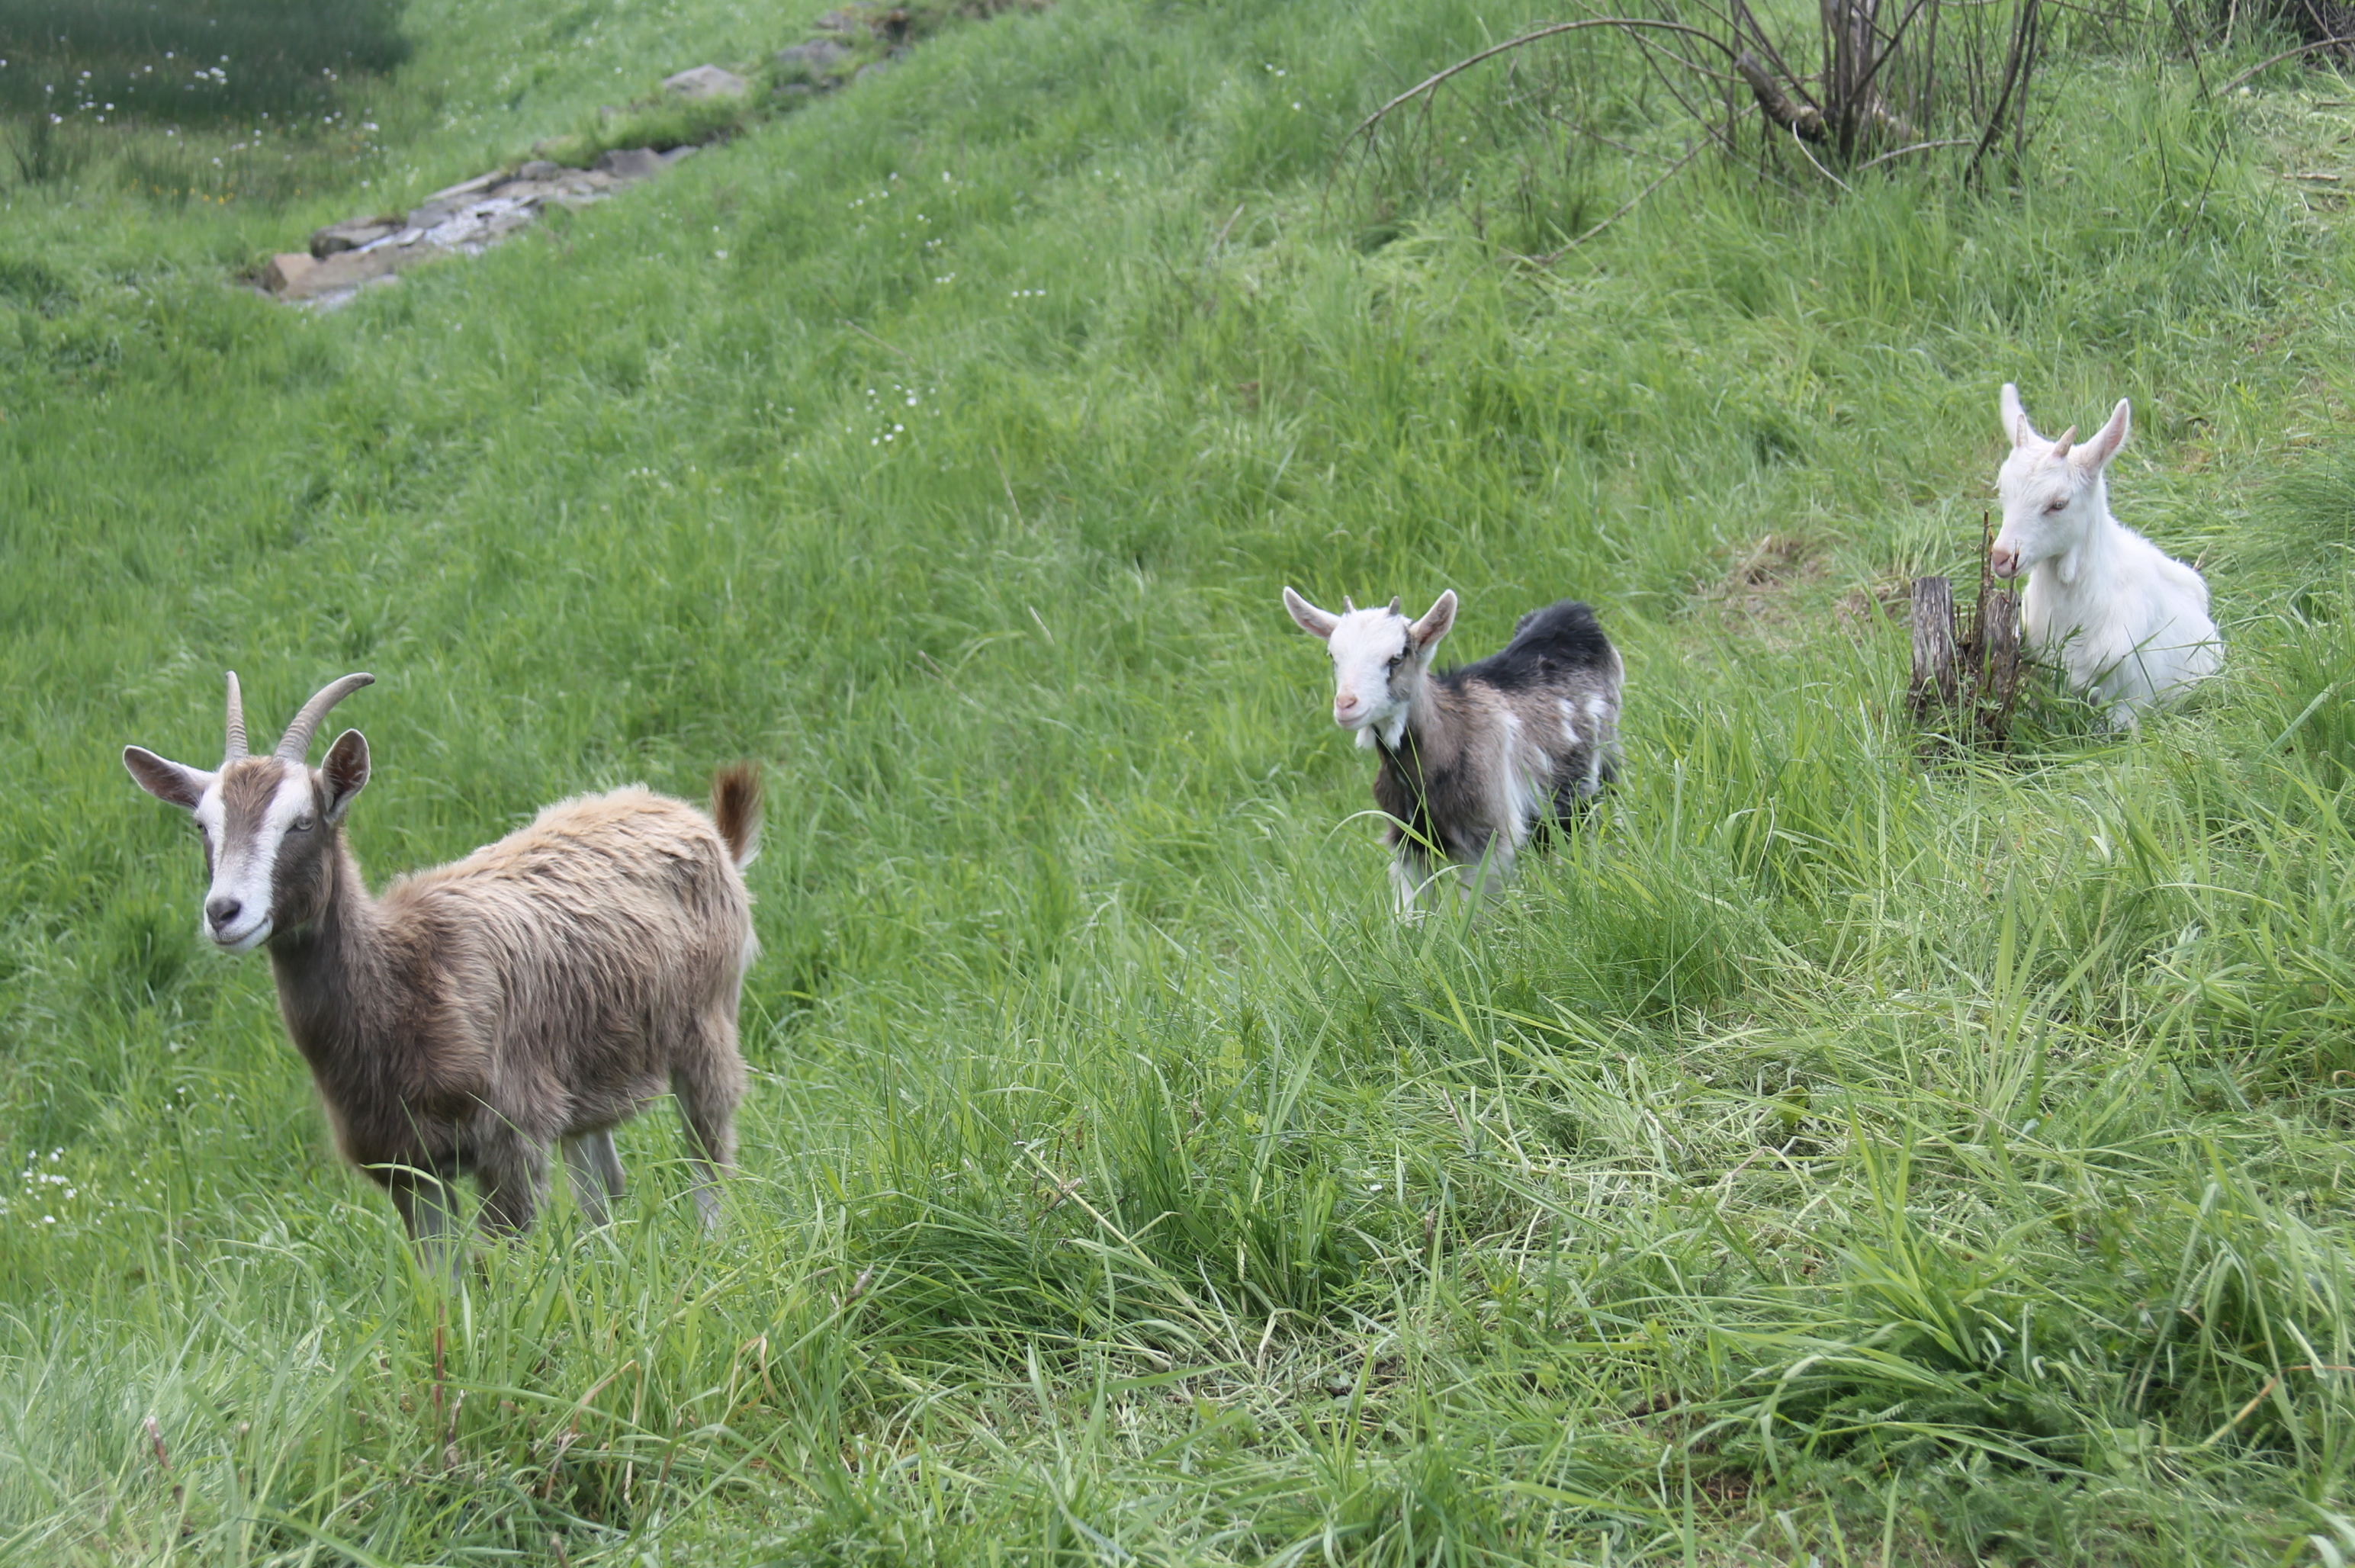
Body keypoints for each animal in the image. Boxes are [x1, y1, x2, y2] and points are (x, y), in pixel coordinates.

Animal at [123, 672, 760, 1255]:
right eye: (202, 826)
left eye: (302, 822)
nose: (224, 912)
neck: (407, 976)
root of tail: (695, 824)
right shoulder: (410, 1167)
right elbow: (443, 1286)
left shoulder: (510, 1139)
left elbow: (505, 1267)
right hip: (587, 1086)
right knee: (602, 1187)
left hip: (707, 1031)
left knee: (709, 1160)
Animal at [1282, 588, 1623, 911]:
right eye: (1333, 656)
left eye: (1397, 657)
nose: (1346, 705)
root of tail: (1573, 613)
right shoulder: (1408, 841)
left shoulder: (1492, 838)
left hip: (1604, 773)